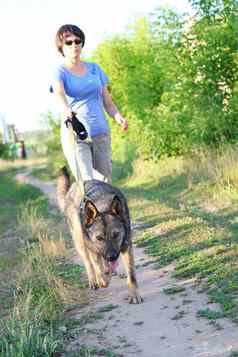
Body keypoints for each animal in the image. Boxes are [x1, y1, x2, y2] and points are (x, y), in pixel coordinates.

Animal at [56, 167, 142, 304]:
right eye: (99, 238)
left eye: (116, 235)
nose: (111, 256)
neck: (102, 206)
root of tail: (74, 186)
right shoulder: (94, 249)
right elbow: (99, 271)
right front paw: (102, 279)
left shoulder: (126, 247)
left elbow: (131, 275)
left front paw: (134, 294)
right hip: (81, 243)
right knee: (89, 263)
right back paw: (94, 280)